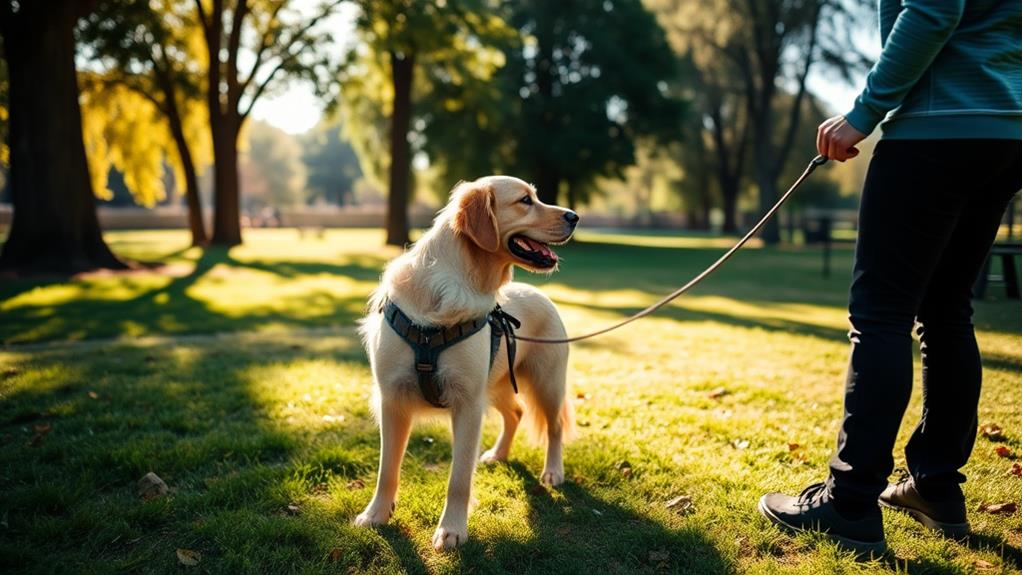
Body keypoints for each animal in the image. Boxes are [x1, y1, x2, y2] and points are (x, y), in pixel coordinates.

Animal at [355, 176, 580, 551]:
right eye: (525, 201)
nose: (575, 216)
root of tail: (540, 294)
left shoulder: (468, 404)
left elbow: (458, 478)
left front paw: (452, 530)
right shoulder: (392, 400)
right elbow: (387, 469)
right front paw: (376, 515)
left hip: (546, 383)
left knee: (555, 427)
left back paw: (553, 471)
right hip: (497, 385)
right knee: (516, 412)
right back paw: (499, 454)